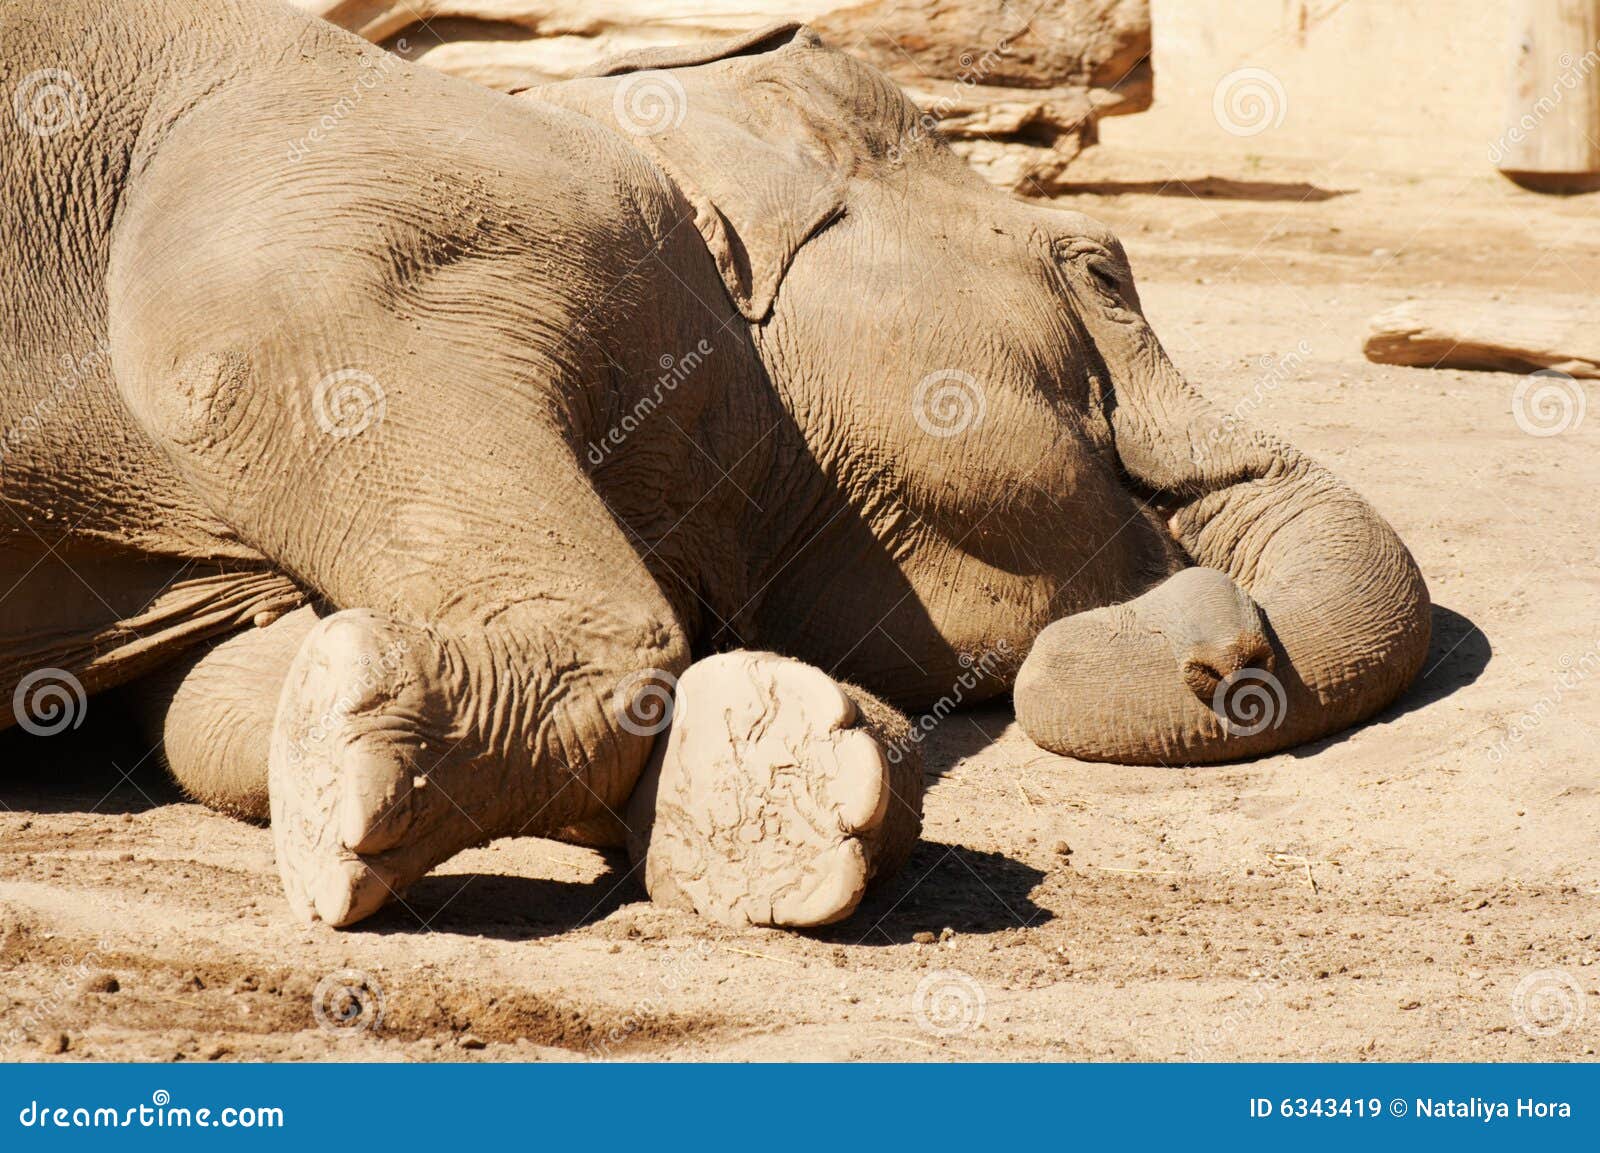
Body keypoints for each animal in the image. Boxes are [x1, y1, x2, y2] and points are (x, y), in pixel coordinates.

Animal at [0, 0, 1430, 931]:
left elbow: (210, 704)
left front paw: (770, 780)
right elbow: (237, 363)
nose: (1228, 649)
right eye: (1106, 272)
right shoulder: (380, 202)